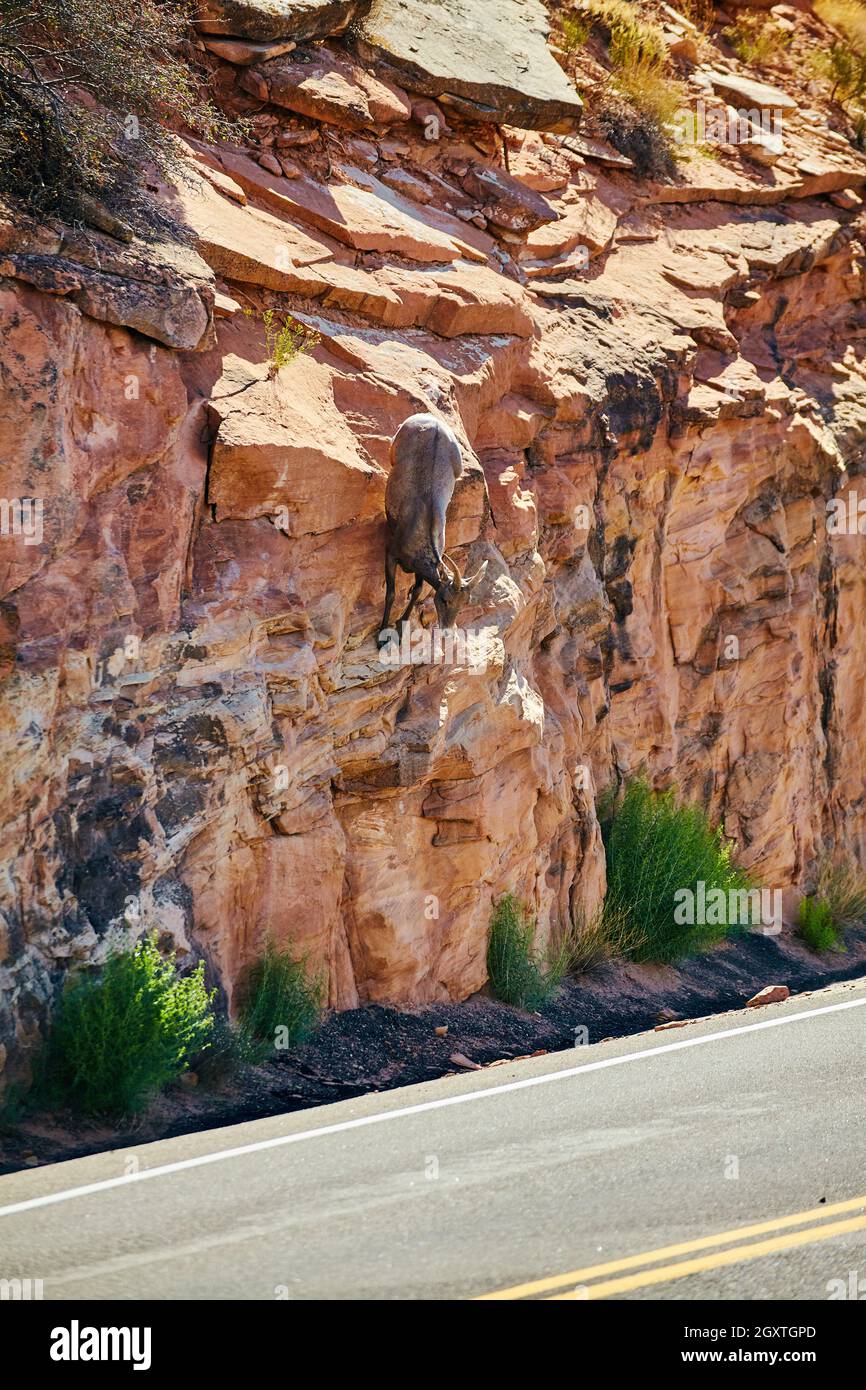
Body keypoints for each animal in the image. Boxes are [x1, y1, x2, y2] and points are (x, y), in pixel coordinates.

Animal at [378, 413, 488, 646]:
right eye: (445, 599)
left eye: (465, 602)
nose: (447, 630)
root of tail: (431, 419)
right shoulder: (390, 552)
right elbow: (391, 593)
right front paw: (382, 636)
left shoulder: (419, 570)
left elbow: (417, 591)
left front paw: (401, 628)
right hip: (394, 449)